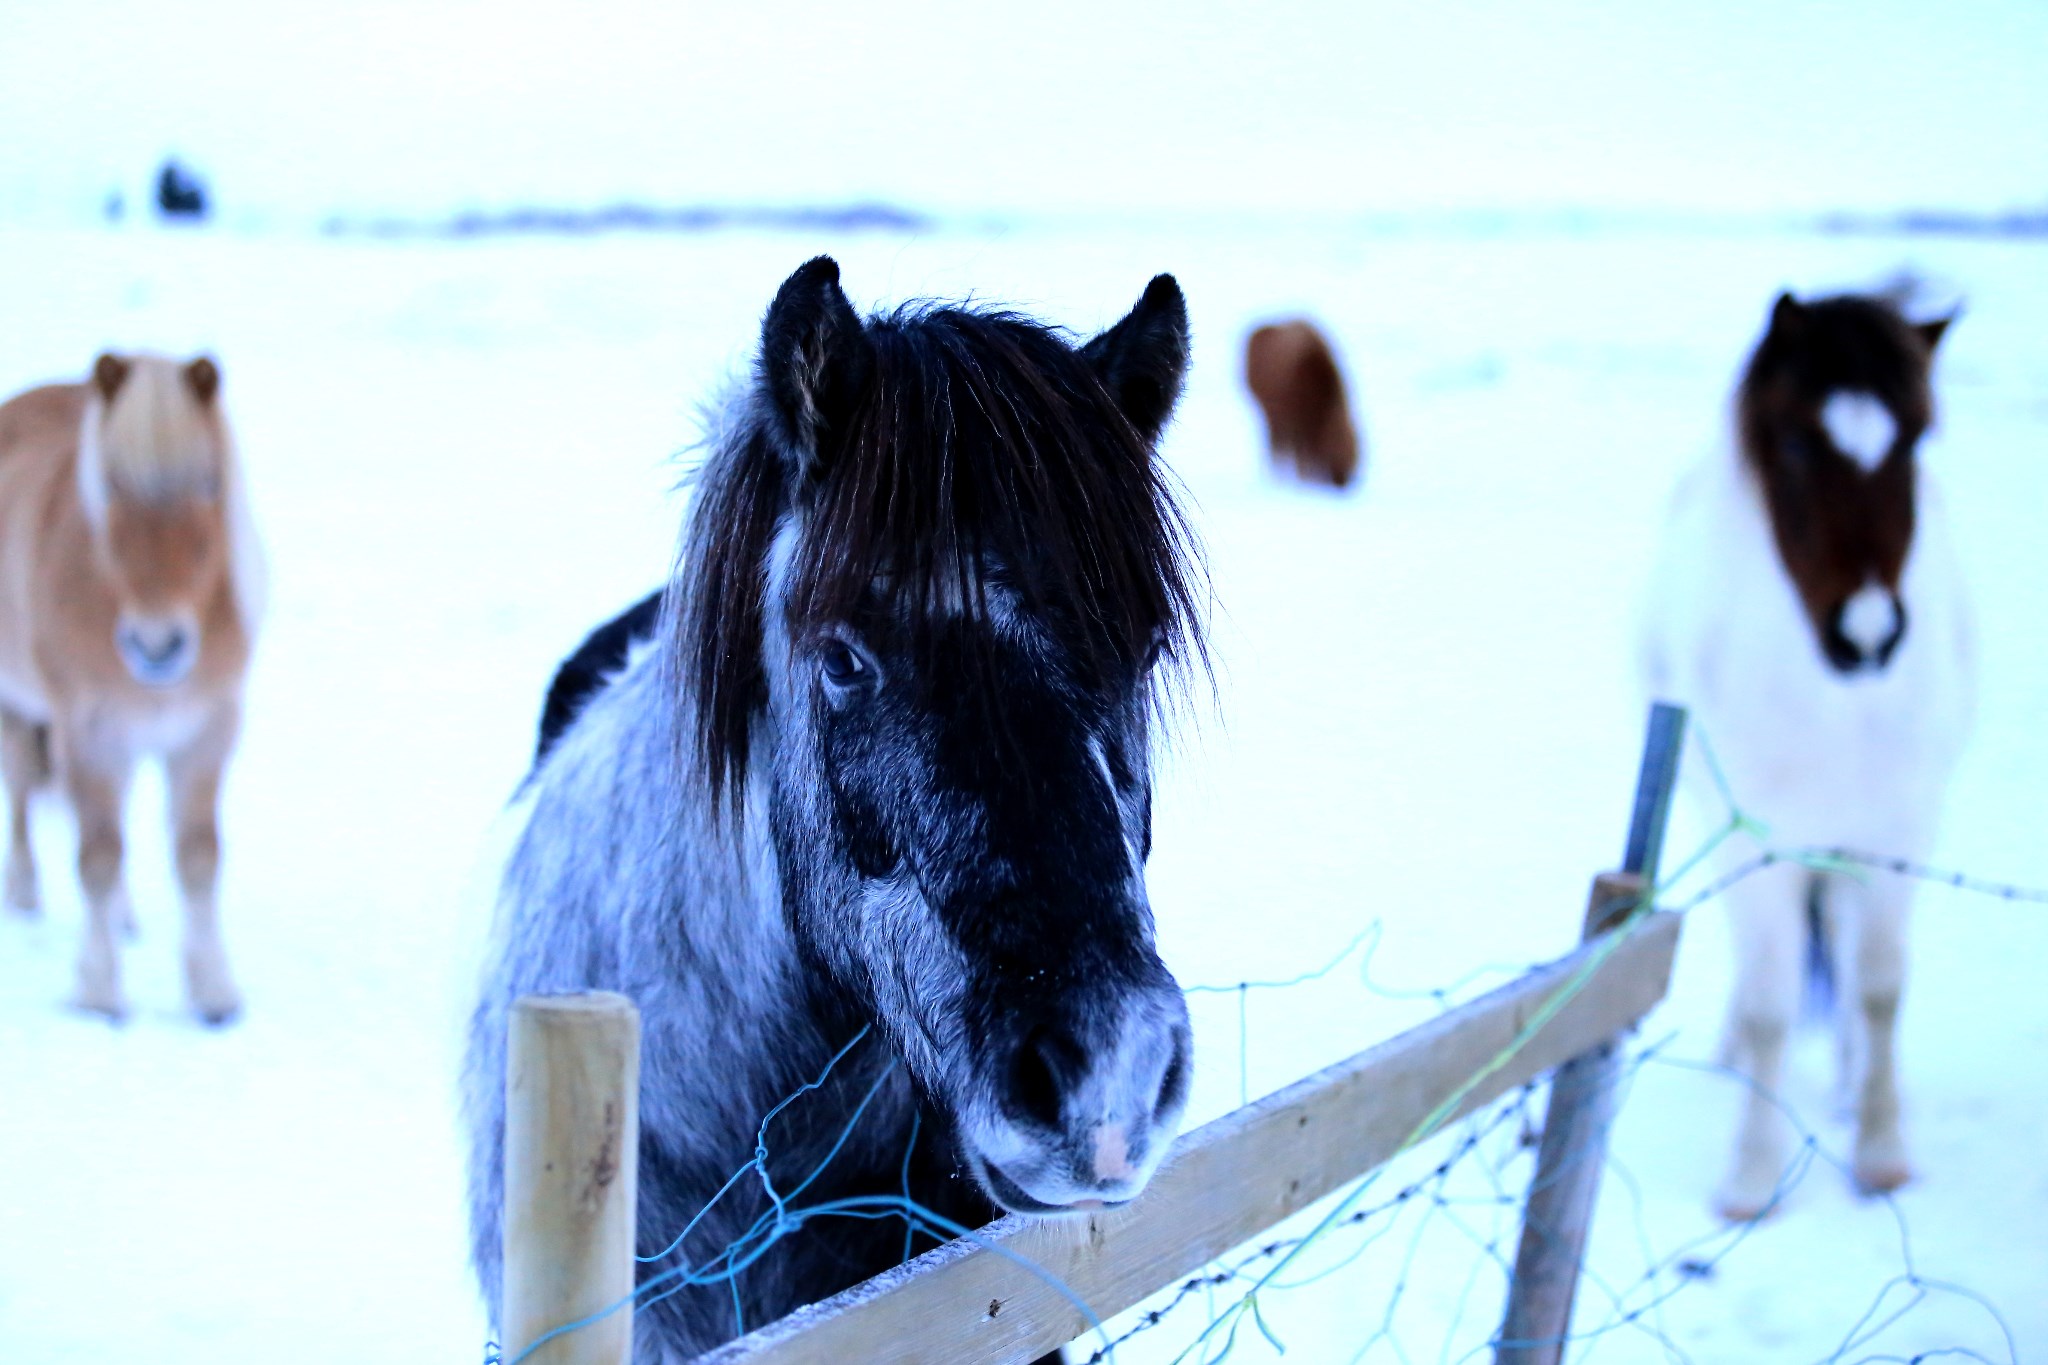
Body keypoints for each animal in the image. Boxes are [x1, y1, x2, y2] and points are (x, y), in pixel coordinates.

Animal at [0, 356, 264, 1023]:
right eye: (112, 484)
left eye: (209, 482)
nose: (158, 647)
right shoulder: (90, 734)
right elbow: (95, 857)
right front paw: (99, 993)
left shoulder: (205, 734)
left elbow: (198, 858)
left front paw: (213, 993)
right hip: (20, 708)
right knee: (22, 792)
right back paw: (23, 889)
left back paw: (123, 917)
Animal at [1646, 294, 1966, 1219]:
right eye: (1791, 443)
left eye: (1914, 439)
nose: (1867, 633)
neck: (1835, 705)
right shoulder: (1756, 843)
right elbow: (1770, 1006)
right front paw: (1751, 1179)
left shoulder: (1899, 832)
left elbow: (1880, 986)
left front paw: (1883, 1153)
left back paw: (1853, 1080)